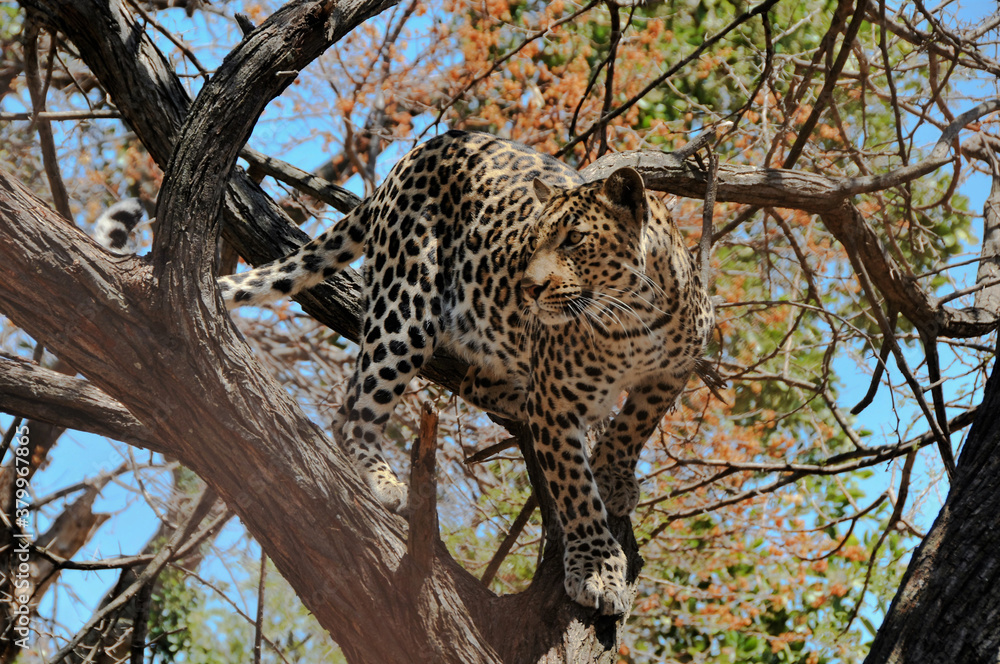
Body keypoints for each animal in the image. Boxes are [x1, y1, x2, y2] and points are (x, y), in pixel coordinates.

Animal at [217, 130, 714, 614]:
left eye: (574, 239)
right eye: (533, 242)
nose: (528, 288)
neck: (635, 317)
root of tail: (421, 150)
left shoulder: (675, 371)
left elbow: (636, 425)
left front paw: (614, 474)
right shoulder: (556, 402)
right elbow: (575, 490)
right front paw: (596, 568)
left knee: (474, 382)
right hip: (405, 311)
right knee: (353, 414)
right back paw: (387, 484)